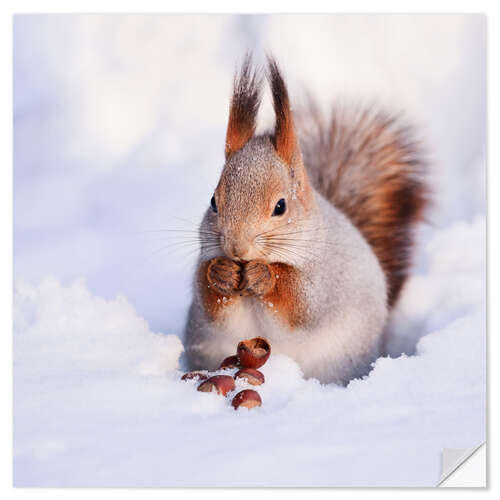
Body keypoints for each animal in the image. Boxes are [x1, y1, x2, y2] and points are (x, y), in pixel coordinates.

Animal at [183, 55, 426, 382]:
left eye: (280, 206)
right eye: (213, 202)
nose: (236, 248)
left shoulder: (325, 279)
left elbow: (301, 304)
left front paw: (265, 276)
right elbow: (208, 298)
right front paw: (220, 272)